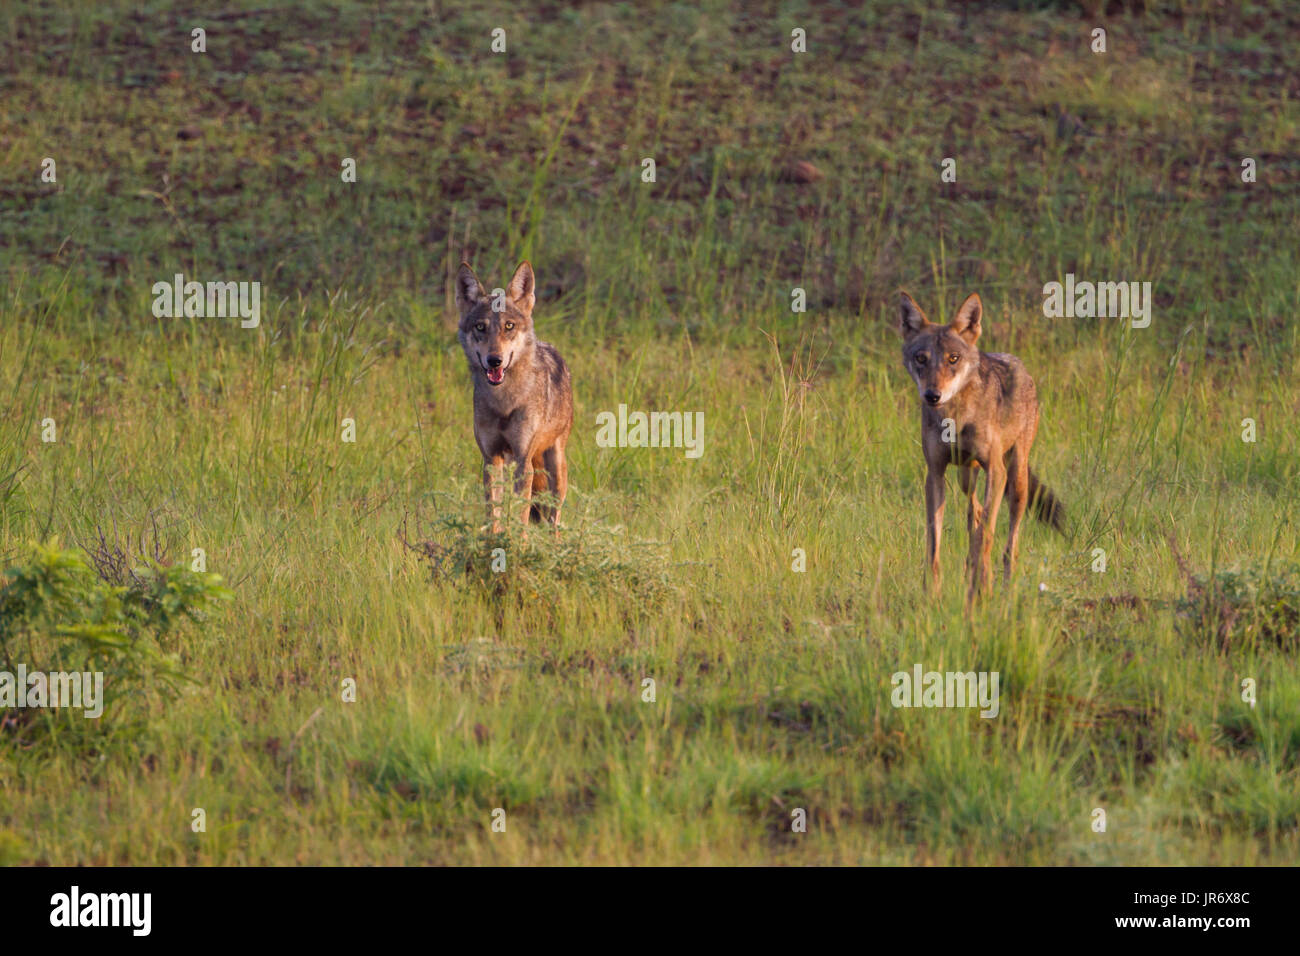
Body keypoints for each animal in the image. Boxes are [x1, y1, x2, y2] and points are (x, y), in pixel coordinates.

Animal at [455, 261, 574, 533]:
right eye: (480, 327)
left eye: (509, 326)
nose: (494, 360)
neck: (504, 402)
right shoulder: (491, 459)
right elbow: (494, 514)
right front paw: (495, 540)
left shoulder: (523, 462)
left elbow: (521, 515)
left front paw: (518, 541)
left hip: (555, 464)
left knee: (554, 517)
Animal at [896, 291, 1065, 600]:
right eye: (921, 358)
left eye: (953, 358)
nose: (932, 395)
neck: (954, 418)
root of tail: (1014, 360)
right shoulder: (935, 474)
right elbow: (934, 541)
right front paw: (932, 593)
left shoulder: (996, 472)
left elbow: (986, 534)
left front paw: (979, 587)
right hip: (967, 476)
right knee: (973, 511)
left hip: (1016, 479)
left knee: (1008, 540)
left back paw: (1003, 584)